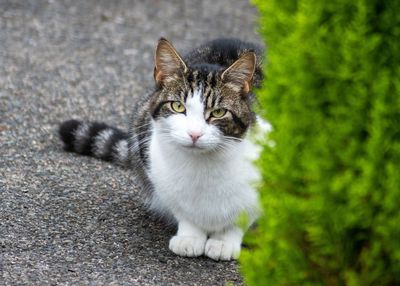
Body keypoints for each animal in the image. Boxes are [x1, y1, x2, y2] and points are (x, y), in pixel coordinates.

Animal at [57, 36, 268, 260]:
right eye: (178, 106)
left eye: (218, 112)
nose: (194, 134)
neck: (202, 167)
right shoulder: (155, 167)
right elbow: (184, 211)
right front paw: (190, 236)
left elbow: (241, 217)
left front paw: (224, 241)